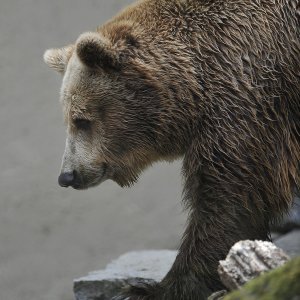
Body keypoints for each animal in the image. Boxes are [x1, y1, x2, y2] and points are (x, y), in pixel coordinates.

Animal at [44, 0, 300, 300]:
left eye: (81, 119)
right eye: (68, 120)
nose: (67, 175)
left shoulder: (246, 94)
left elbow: (231, 193)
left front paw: (147, 289)